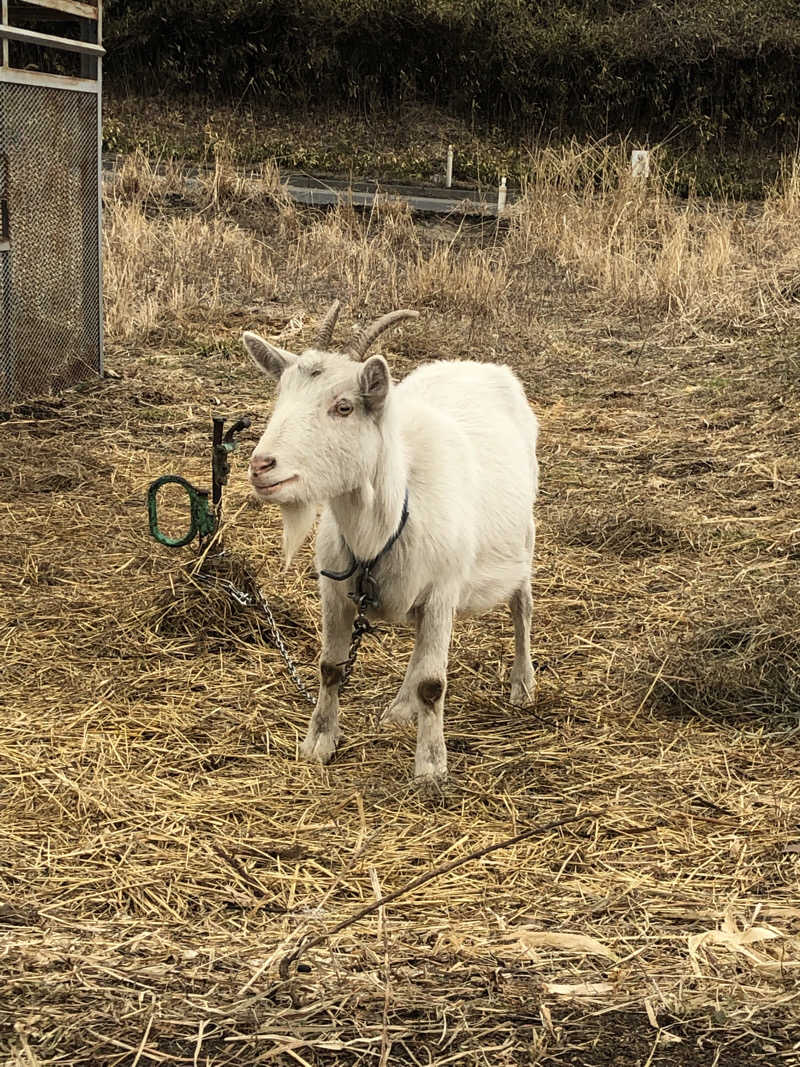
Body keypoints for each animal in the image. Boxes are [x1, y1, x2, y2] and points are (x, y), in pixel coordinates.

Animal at [243, 303, 539, 785]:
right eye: (280, 397)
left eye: (343, 406)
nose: (262, 465)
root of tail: (478, 365)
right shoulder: (335, 590)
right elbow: (330, 668)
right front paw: (318, 743)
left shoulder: (442, 591)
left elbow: (434, 684)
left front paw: (431, 768)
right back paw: (401, 708)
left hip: (524, 537)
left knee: (521, 607)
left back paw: (523, 684)